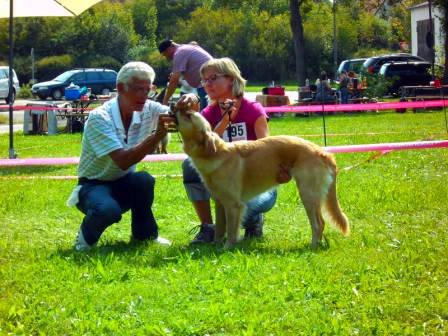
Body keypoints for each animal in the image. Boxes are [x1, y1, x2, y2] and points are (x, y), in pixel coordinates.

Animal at [173, 107, 348, 249]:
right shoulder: (219, 202)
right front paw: (215, 246)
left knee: (319, 223)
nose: (175, 105)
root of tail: (324, 153)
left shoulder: (233, 205)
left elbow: (231, 231)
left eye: (188, 115)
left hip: (308, 194)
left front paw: (227, 248)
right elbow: (220, 229)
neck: (214, 154)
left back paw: (312, 246)